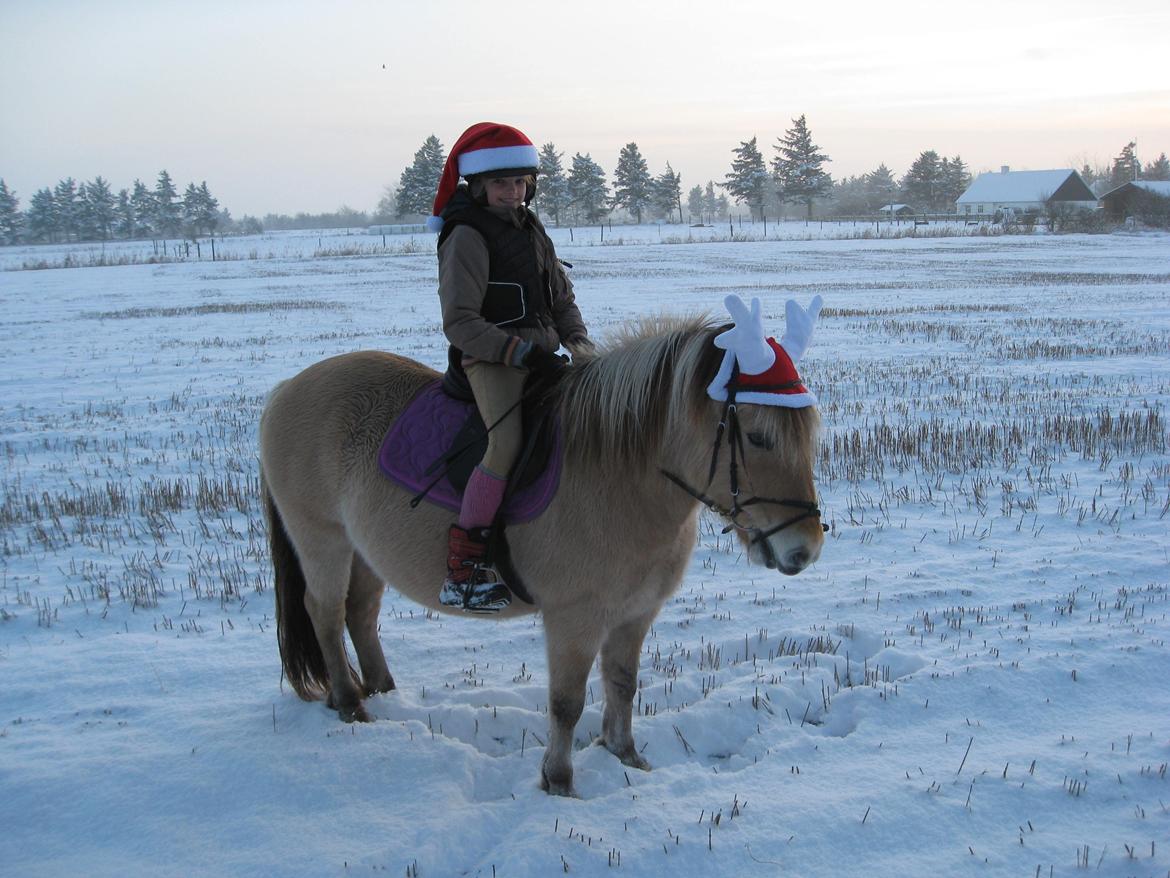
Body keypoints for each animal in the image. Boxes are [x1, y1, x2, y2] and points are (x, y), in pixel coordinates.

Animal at [258, 304, 823, 796]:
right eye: (758, 437)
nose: (806, 550)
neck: (619, 476)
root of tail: (286, 390)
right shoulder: (575, 618)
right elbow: (567, 704)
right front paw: (559, 780)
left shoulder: (635, 613)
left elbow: (623, 683)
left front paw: (625, 756)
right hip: (323, 538)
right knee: (325, 612)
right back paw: (350, 702)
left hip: (364, 550)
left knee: (359, 612)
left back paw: (380, 687)